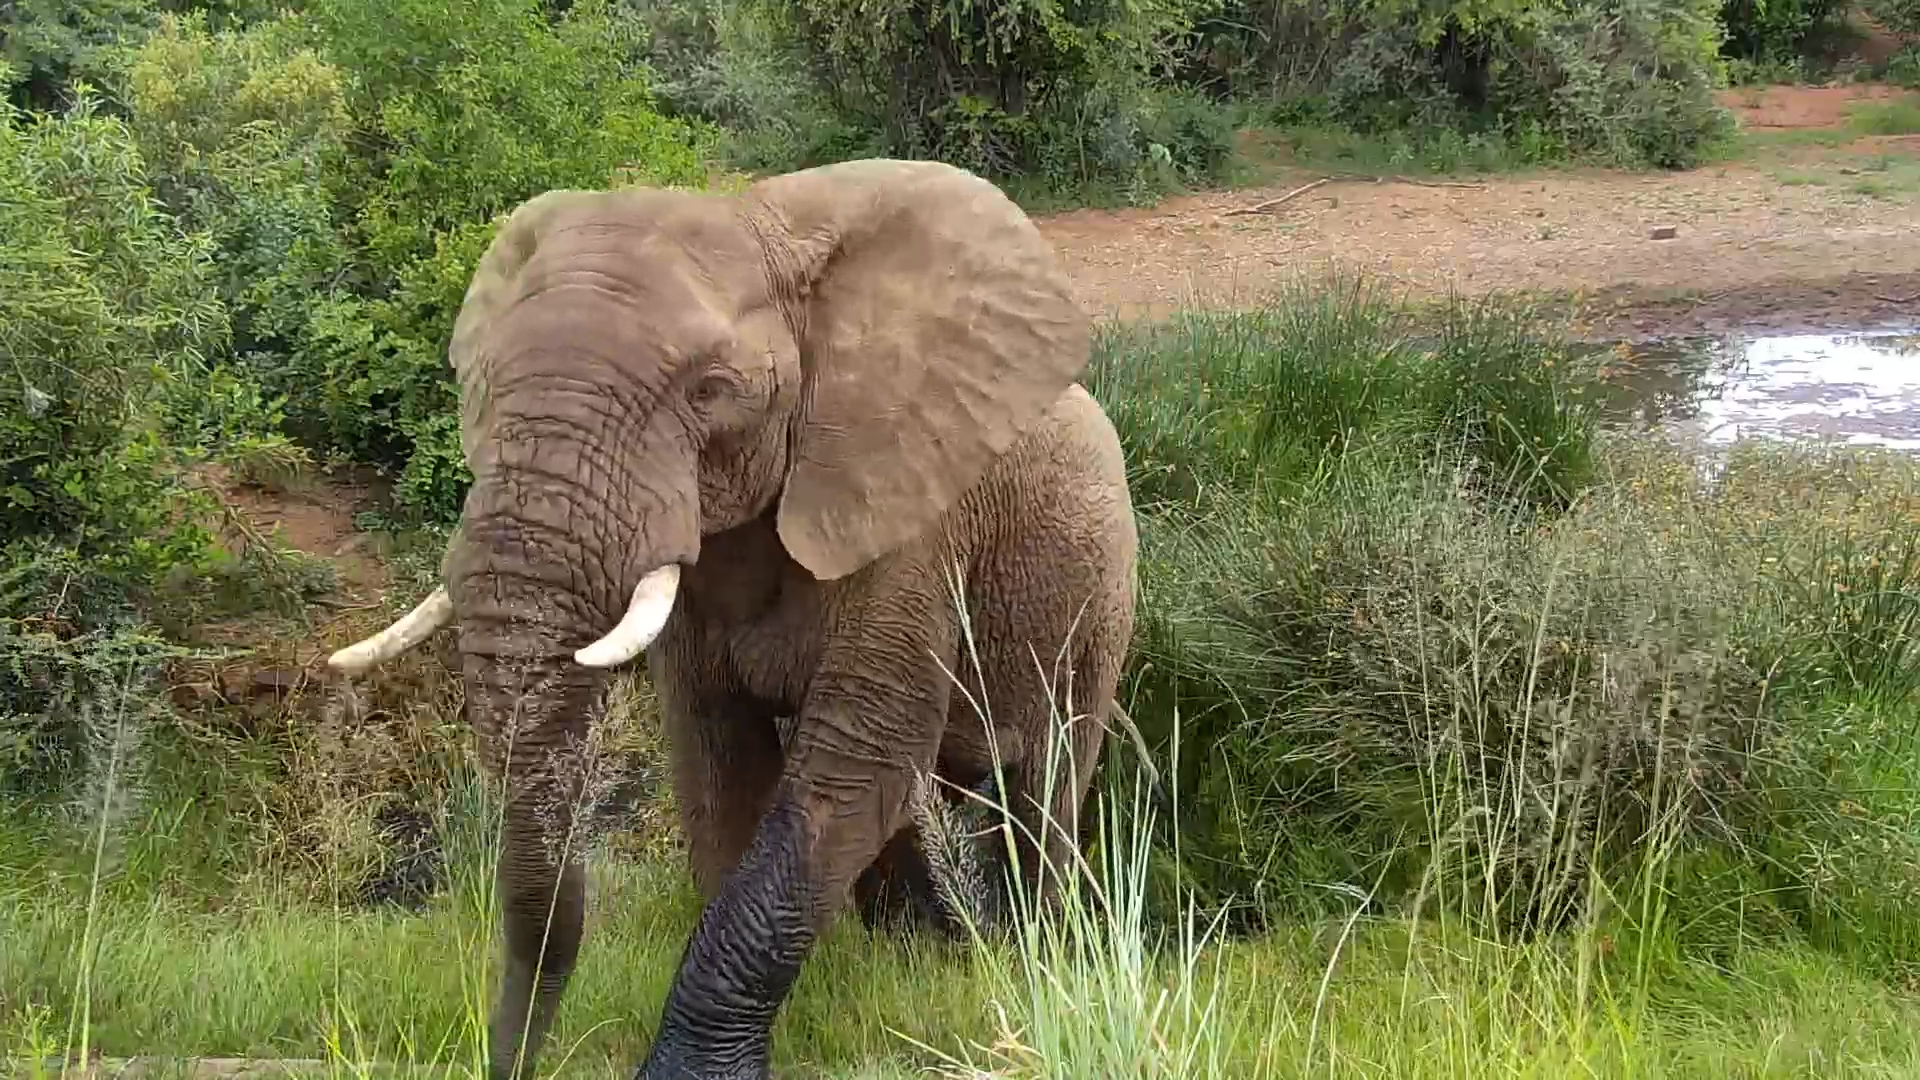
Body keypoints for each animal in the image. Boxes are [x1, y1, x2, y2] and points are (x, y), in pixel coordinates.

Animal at [323, 157, 1141, 1080]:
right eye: (479, 386)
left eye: (711, 391)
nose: (509, 1061)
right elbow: (718, 760)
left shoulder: (912, 526)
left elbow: (855, 765)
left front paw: (688, 1072)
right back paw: (909, 958)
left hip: (1100, 600)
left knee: (1045, 789)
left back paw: (1033, 958)